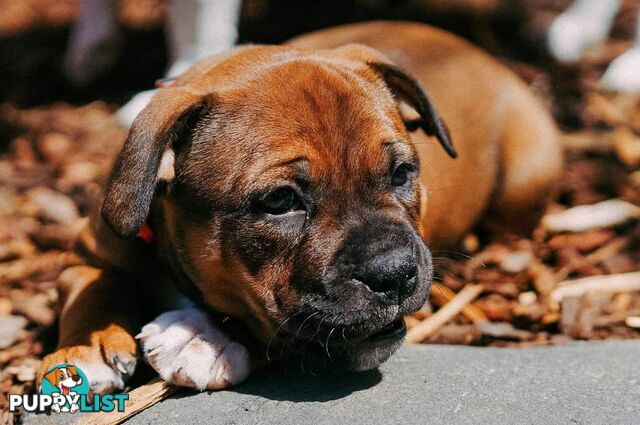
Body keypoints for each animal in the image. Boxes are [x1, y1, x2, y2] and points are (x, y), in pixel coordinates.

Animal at [38, 20, 560, 390]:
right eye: (279, 201)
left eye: (402, 174)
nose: (393, 274)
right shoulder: (86, 254)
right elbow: (91, 290)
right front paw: (82, 351)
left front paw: (201, 339)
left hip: (525, 177)